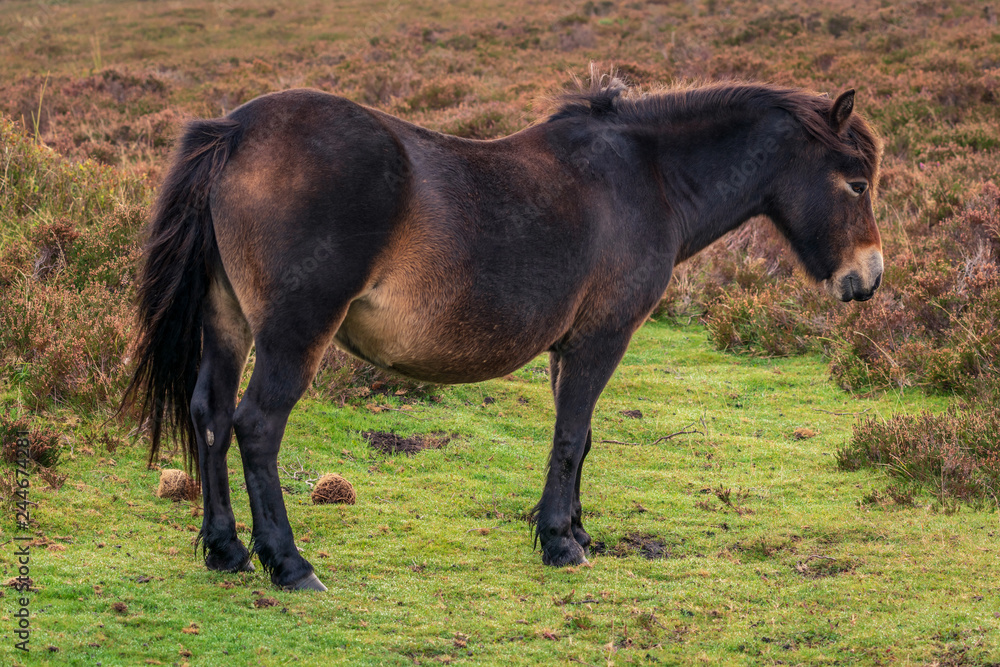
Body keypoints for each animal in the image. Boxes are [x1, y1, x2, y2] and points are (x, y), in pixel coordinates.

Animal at [121, 74, 883, 591]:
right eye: (856, 182)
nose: (867, 277)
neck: (648, 178)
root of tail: (236, 131)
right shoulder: (602, 337)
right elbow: (571, 436)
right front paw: (560, 543)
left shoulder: (571, 346)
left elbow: (580, 438)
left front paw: (574, 527)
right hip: (292, 332)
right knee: (254, 425)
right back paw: (288, 563)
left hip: (227, 321)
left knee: (210, 416)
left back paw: (225, 551)